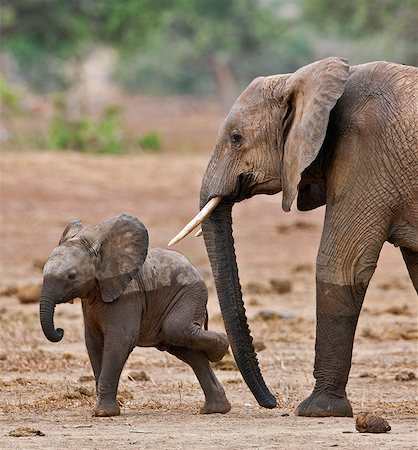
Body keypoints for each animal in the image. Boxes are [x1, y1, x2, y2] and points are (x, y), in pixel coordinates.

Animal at [40, 213, 230, 416]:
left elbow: (120, 340)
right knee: (185, 348)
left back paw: (221, 349)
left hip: (190, 293)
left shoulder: (128, 295)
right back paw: (216, 408)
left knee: (176, 330)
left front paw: (104, 413)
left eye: (72, 276)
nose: (60, 330)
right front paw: (102, 409)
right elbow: (94, 342)